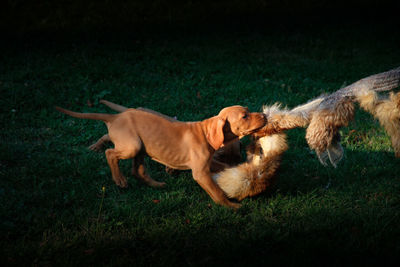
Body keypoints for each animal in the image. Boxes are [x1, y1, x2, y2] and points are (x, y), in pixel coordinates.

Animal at [56, 105, 268, 209]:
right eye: (244, 116)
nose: (265, 115)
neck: (205, 132)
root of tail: (115, 117)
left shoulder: (210, 163)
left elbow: (223, 168)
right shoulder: (200, 173)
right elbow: (216, 192)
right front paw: (231, 206)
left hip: (141, 147)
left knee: (138, 170)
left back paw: (155, 184)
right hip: (132, 146)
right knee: (110, 154)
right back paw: (119, 180)